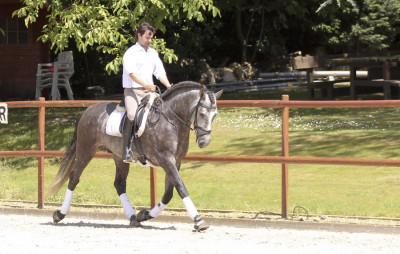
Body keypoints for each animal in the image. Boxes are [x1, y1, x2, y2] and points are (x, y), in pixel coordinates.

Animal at [48, 81, 223, 230]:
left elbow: (168, 193)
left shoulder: (175, 162)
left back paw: (133, 217)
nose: (204, 142)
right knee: (74, 178)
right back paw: (59, 215)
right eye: (202, 113)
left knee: (119, 184)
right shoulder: (166, 160)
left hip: (118, 157)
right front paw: (199, 221)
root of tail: (87, 110)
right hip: (86, 150)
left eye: (214, 115)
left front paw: (143, 215)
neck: (171, 121)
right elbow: (181, 188)